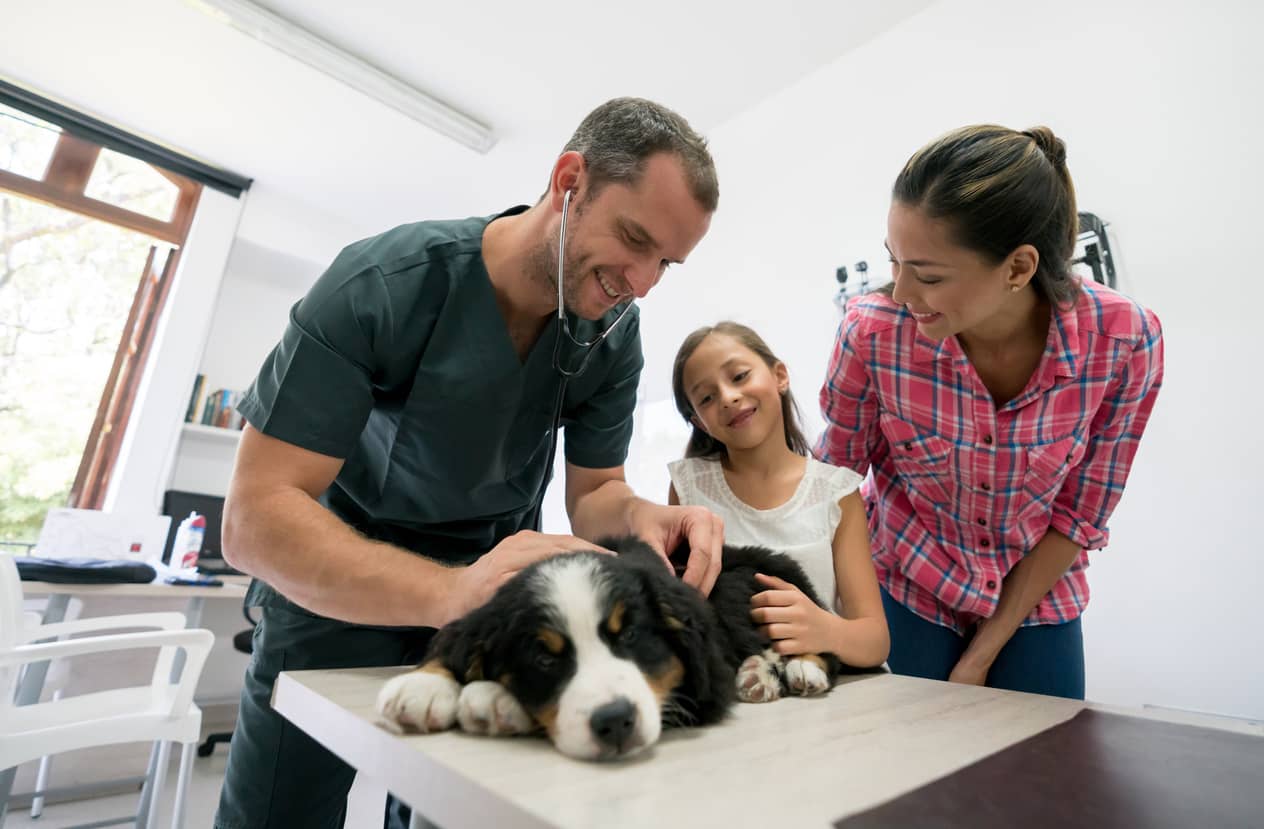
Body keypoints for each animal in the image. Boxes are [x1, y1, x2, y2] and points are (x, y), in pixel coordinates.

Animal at [379, 533, 844, 763]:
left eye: (631, 638)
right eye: (545, 658)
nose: (615, 721)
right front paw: (426, 687)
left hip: (760, 588)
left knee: (818, 638)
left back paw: (794, 670)